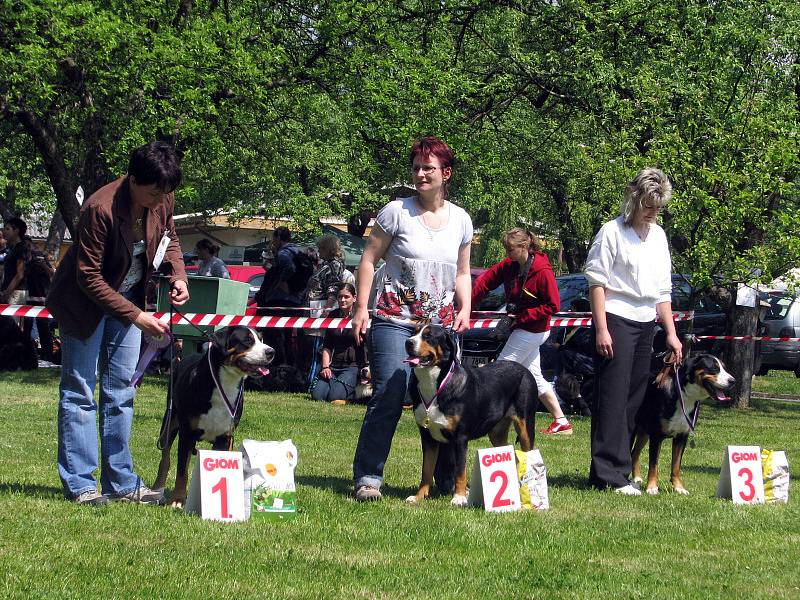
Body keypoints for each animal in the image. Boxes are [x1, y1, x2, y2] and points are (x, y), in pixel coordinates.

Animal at [153, 324, 276, 506]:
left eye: (261, 339)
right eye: (247, 341)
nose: (271, 352)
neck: (224, 385)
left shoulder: (225, 437)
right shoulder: (186, 433)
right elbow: (182, 471)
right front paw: (178, 499)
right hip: (170, 421)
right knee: (165, 458)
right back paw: (157, 489)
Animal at [406, 324, 536, 506]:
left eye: (428, 336)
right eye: (414, 332)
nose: (408, 342)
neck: (434, 386)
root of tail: (524, 369)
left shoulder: (460, 438)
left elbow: (460, 471)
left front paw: (459, 497)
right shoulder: (427, 437)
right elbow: (427, 470)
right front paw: (419, 496)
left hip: (525, 426)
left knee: (529, 454)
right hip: (496, 433)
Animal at [636, 354, 736, 494]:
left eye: (724, 368)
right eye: (714, 368)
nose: (733, 381)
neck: (684, 396)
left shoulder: (681, 436)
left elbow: (676, 465)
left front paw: (679, 488)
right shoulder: (656, 436)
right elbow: (653, 464)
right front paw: (652, 487)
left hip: (644, 432)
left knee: (635, 452)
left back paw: (636, 478)